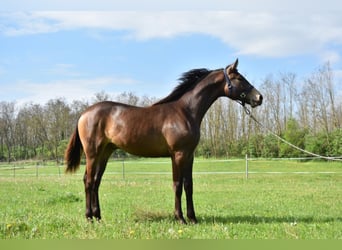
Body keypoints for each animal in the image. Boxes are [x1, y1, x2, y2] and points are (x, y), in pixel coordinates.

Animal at [65, 59, 262, 225]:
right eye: (239, 78)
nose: (259, 98)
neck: (185, 111)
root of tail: (84, 114)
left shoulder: (189, 155)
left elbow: (189, 185)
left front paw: (193, 218)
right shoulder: (178, 154)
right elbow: (177, 185)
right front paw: (180, 218)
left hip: (105, 153)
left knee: (95, 181)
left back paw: (98, 217)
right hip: (92, 154)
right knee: (89, 181)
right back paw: (89, 218)